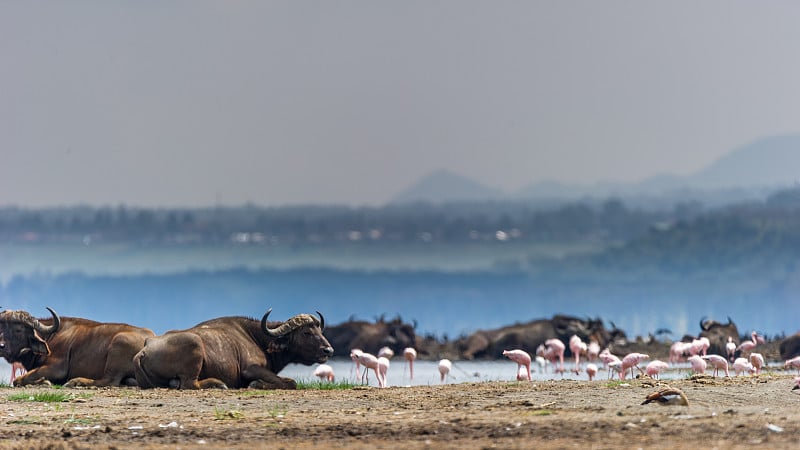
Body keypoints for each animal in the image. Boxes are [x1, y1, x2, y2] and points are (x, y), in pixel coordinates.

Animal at [0, 308, 154, 388]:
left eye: (18, 329)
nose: (1, 346)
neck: (51, 336)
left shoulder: (57, 368)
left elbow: (18, 380)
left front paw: (44, 382)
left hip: (118, 344)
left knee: (110, 381)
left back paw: (75, 381)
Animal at [133, 310, 332, 390]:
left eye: (319, 330)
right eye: (306, 332)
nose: (328, 350)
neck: (257, 337)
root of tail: (144, 350)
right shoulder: (250, 369)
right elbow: (289, 382)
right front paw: (256, 384)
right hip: (194, 344)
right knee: (190, 384)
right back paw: (218, 384)